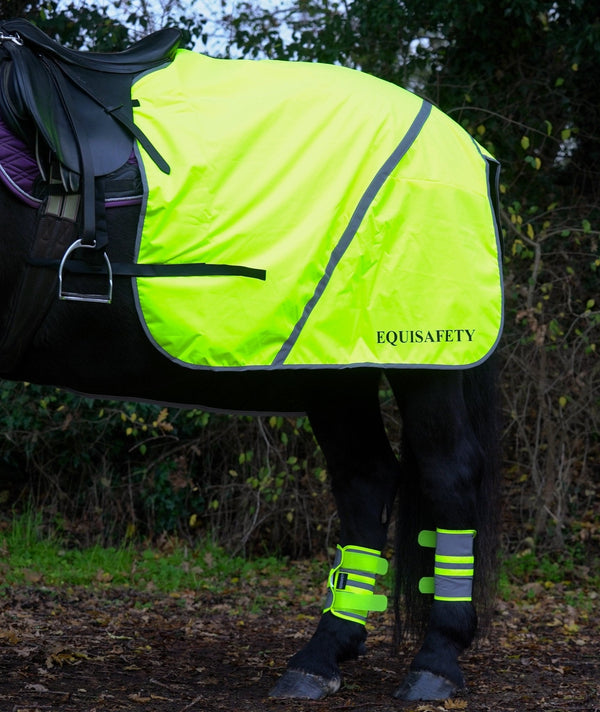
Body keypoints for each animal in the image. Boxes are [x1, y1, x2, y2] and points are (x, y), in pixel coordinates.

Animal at [0, 20, 503, 702]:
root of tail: (470, 148)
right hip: (334, 367)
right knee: (367, 479)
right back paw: (321, 656)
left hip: (427, 360)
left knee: (448, 476)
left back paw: (436, 661)